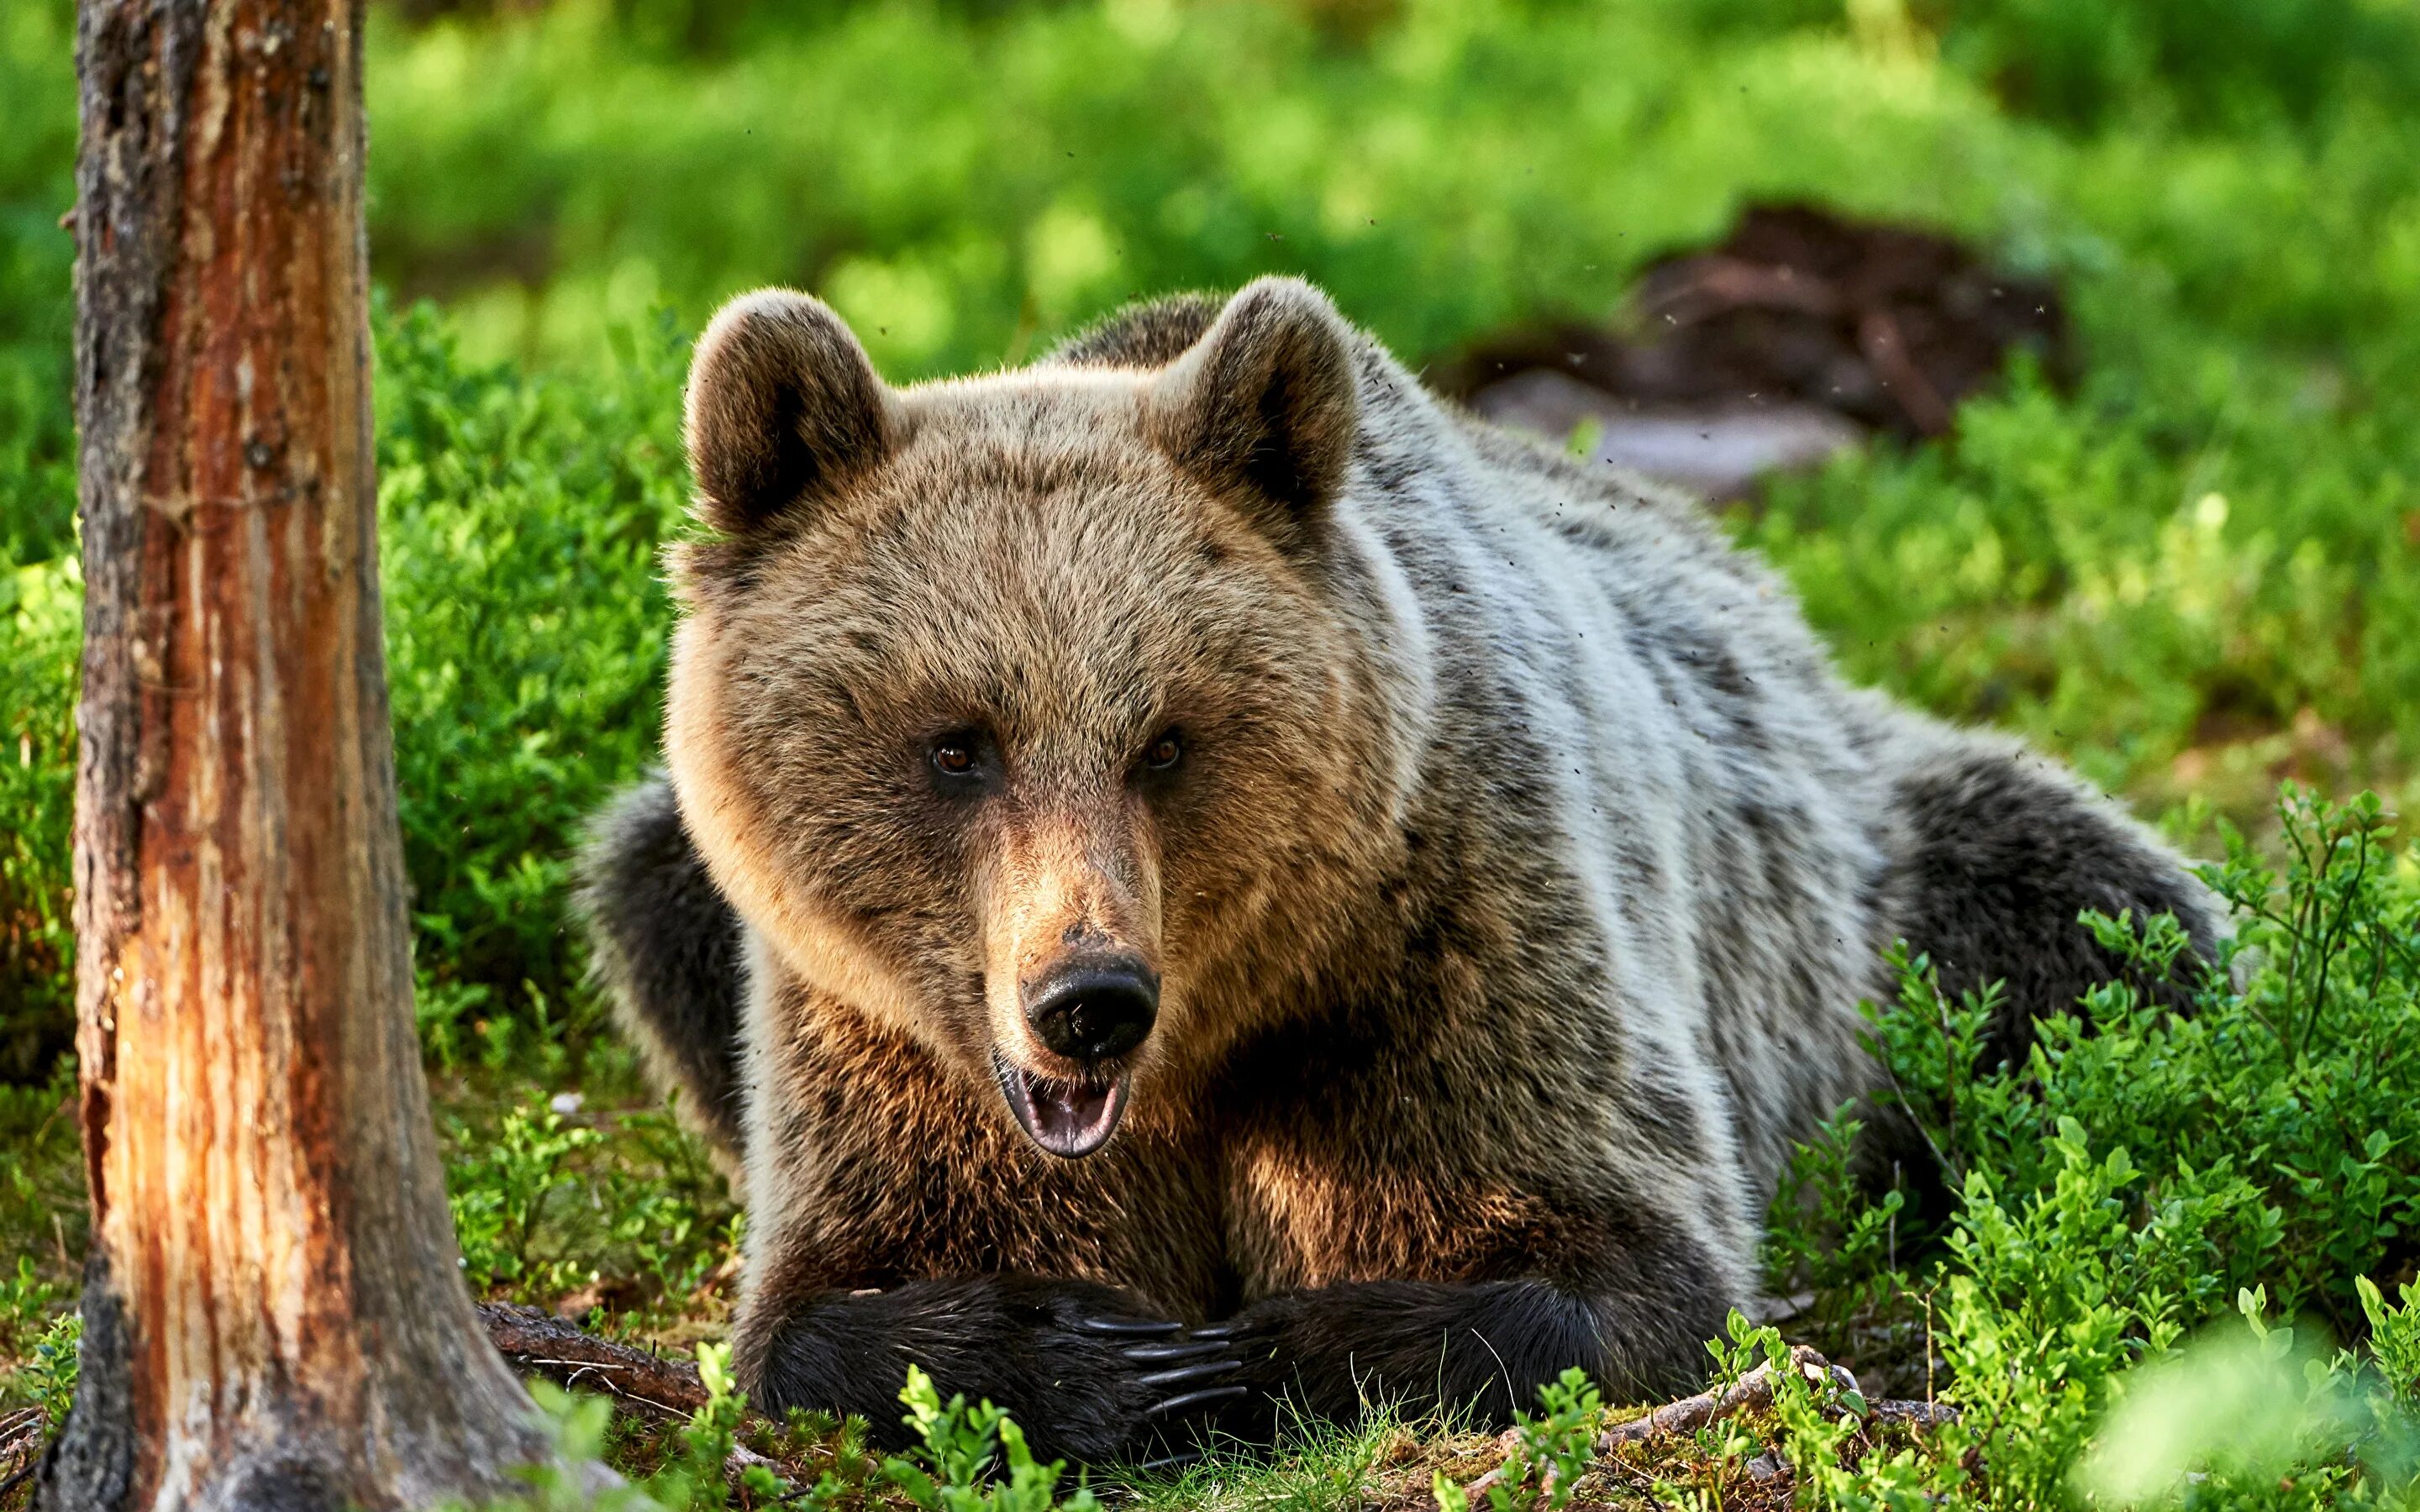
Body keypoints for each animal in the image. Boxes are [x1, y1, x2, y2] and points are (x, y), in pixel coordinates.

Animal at [581, 274, 2217, 1461]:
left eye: (1164, 739)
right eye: (956, 744)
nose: (1087, 998)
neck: (1209, 1044)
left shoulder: (1456, 938)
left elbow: (1629, 1270)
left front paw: (1260, 1352)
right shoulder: (876, 1039)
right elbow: (816, 1313)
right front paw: (1097, 1354)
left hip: (1889, 885)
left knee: (2106, 937)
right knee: (644, 880)